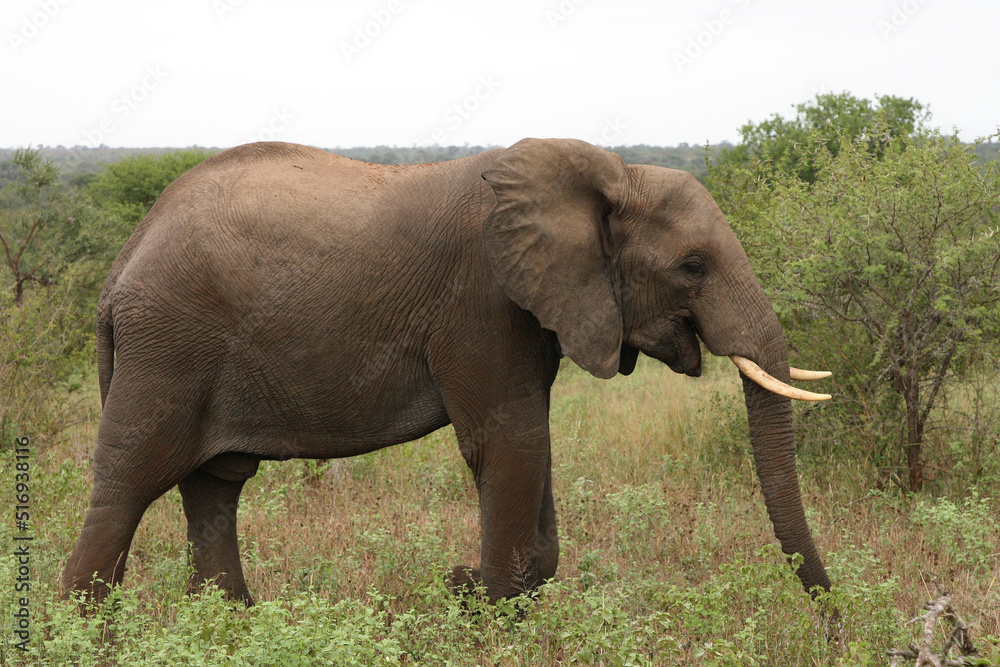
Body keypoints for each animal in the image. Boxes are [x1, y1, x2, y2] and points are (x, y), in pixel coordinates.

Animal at [62, 138, 834, 606]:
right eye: (692, 266)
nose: (833, 617)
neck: (602, 172)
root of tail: (121, 263)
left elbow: (530, 442)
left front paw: (468, 586)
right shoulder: (483, 299)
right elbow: (509, 443)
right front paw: (474, 594)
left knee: (214, 485)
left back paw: (232, 624)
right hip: (168, 344)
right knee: (130, 482)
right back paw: (87, 631)